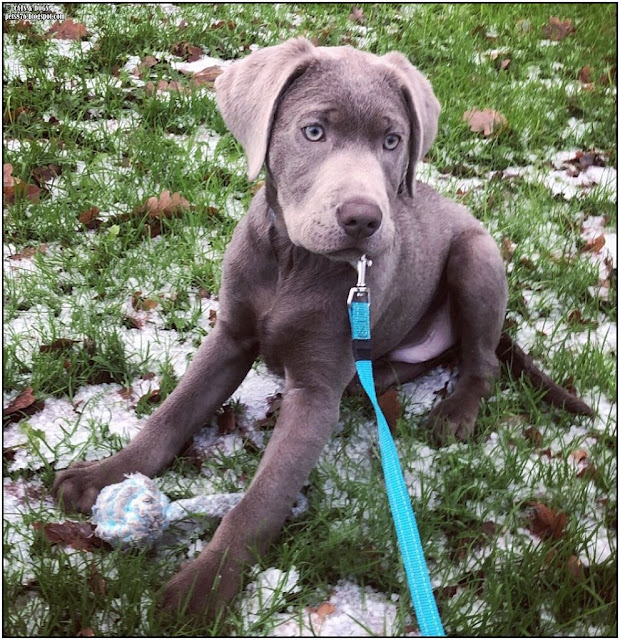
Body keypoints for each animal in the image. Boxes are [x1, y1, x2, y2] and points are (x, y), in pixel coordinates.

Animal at [53, 38, 592, 620]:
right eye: (313, 131)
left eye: (392, 140)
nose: (364, 219)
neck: (294, 261)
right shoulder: (229, 336)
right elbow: (170, 415)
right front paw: (103, 475)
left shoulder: (313, 394)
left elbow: (262, 498)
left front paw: (202, 589)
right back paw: (375, 381)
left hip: (477, 256)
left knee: (483, 361)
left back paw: (454, 413)